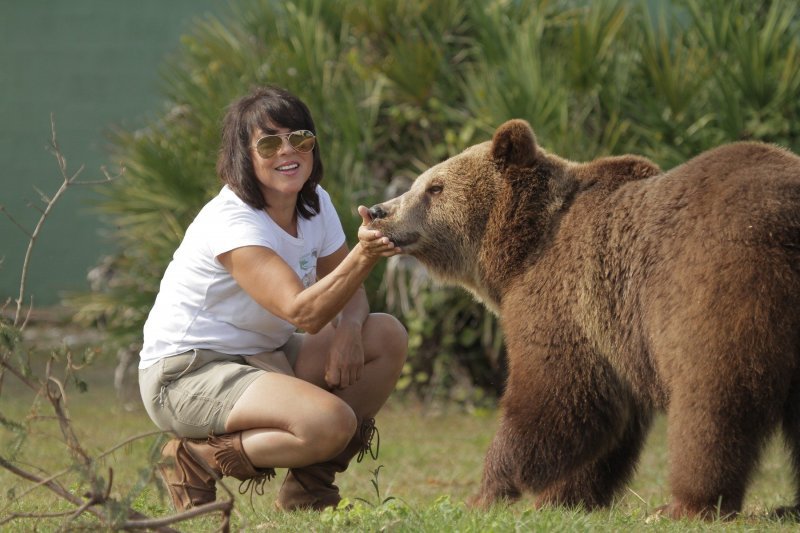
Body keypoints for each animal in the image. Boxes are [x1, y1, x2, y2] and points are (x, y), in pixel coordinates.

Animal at [368, 119, 800, 520]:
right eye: (420, 182)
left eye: (435, 186)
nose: (378, 211)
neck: (518, 249)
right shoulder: (610, 332)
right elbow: (606, 422)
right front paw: (562, 498)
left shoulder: (565, 298)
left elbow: (554, 395)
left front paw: (487, 493)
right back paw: (786, 507)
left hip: (719, 285)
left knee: (710, 402)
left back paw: (685, 505)